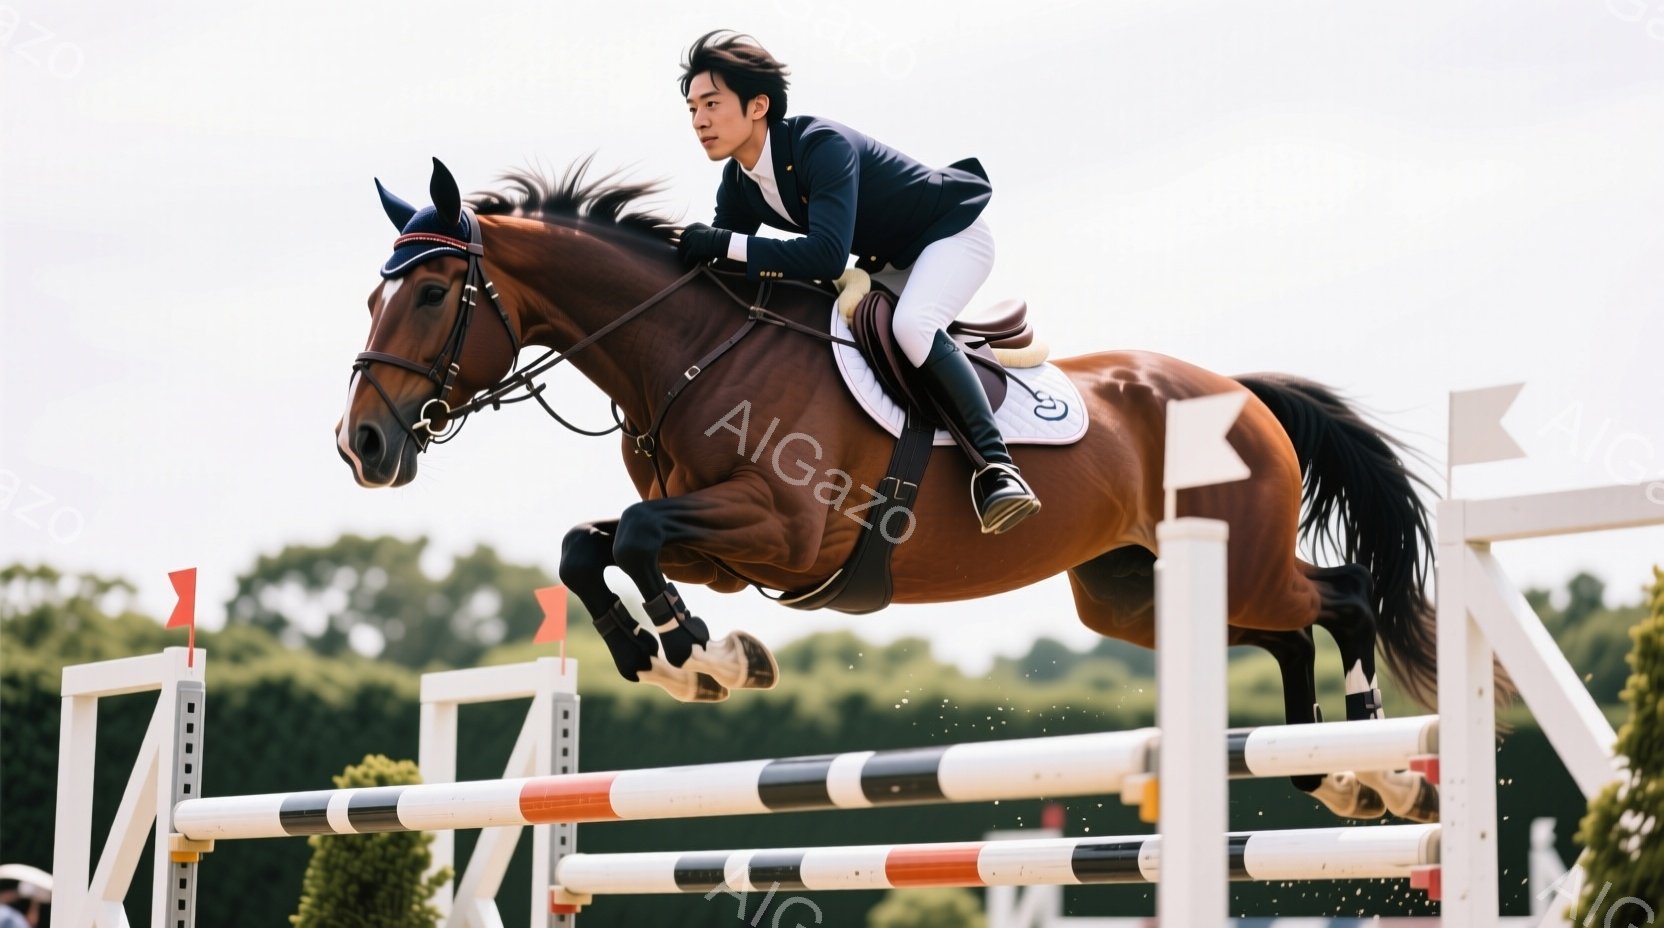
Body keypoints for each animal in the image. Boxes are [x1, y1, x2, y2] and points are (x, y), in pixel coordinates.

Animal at [335, 158, 1441, 824]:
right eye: (375, 293)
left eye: (430, 292)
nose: (363, 445)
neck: (689, 351)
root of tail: (1242, 393)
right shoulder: (727, 546)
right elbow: (589, 545)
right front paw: (679, 659)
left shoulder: (781, 530)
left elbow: (637, 536)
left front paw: (701, 660)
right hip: (1135, 593)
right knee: (1289, 633)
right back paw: (1329, 773)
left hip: (1236, 560)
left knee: (1343, 599)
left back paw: (1384, 768)